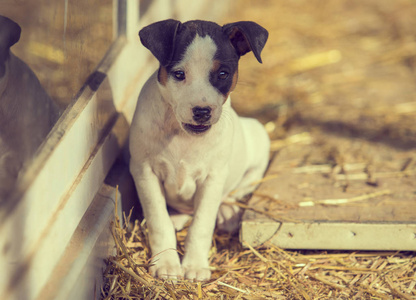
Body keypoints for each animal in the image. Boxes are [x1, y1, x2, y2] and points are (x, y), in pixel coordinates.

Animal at [128, 19, 270, 282]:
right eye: (179, 74)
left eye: (223, 74)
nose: (202, 111)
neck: (182, 135)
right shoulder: (144, 172)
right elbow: (158, 220)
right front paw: (166, 262)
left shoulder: (212, 178)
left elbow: (201, 225)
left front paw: (194, 265)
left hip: (259, 139)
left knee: (235, 191)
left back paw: (226, 212)